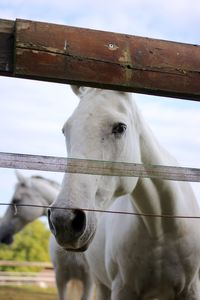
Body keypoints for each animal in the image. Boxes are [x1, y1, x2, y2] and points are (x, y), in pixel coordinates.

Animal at [48, 85, 200, 298]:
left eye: (120, 128)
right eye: (65, 130)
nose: (64, 220)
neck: (161, 230)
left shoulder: (191, 289)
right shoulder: (123, 289)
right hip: (100, 284)